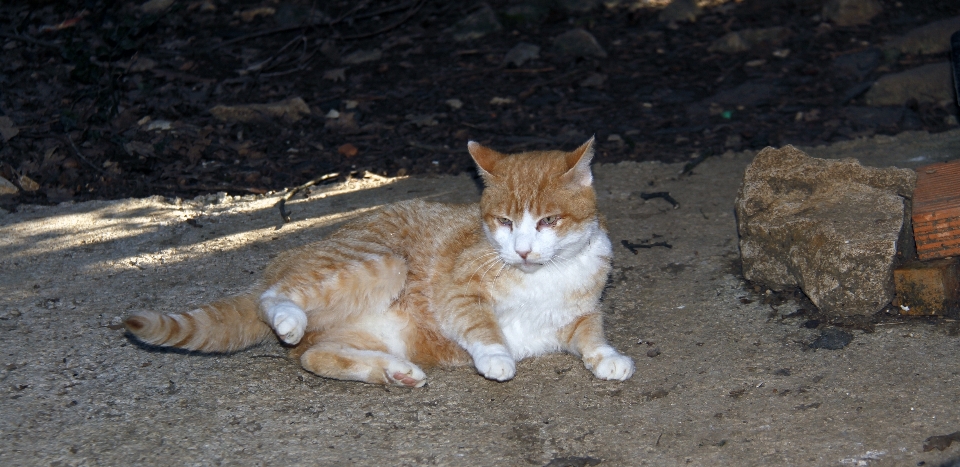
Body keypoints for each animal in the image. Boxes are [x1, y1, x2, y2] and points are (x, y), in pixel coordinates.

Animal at [125, 138, 636, 388]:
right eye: (506, 222)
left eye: (548, 220)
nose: (524, 250)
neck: (541, 275)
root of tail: (285, 258)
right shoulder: (458, 291)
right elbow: (480, 324)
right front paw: (496, 356)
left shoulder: (579, 314)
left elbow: (592, 337)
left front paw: (608, 359)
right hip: (382, 262)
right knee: (276, 300)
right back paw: (288, 318)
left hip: (372, 332)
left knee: (313, 356)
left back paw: (393, 372)